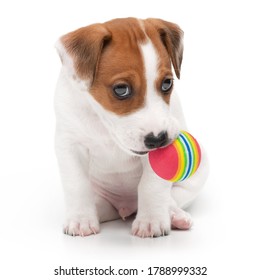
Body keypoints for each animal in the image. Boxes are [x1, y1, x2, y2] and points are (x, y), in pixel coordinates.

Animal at [53, 17, 208, 237]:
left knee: (172, 198)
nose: (158, 139)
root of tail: (127, 206)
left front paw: (151, 220)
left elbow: (151, 186)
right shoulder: (69, 145)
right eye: (121, 89)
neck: (105, 124)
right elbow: (77, 184)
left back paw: (174, 215)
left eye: (167, 83)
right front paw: (81, 219)